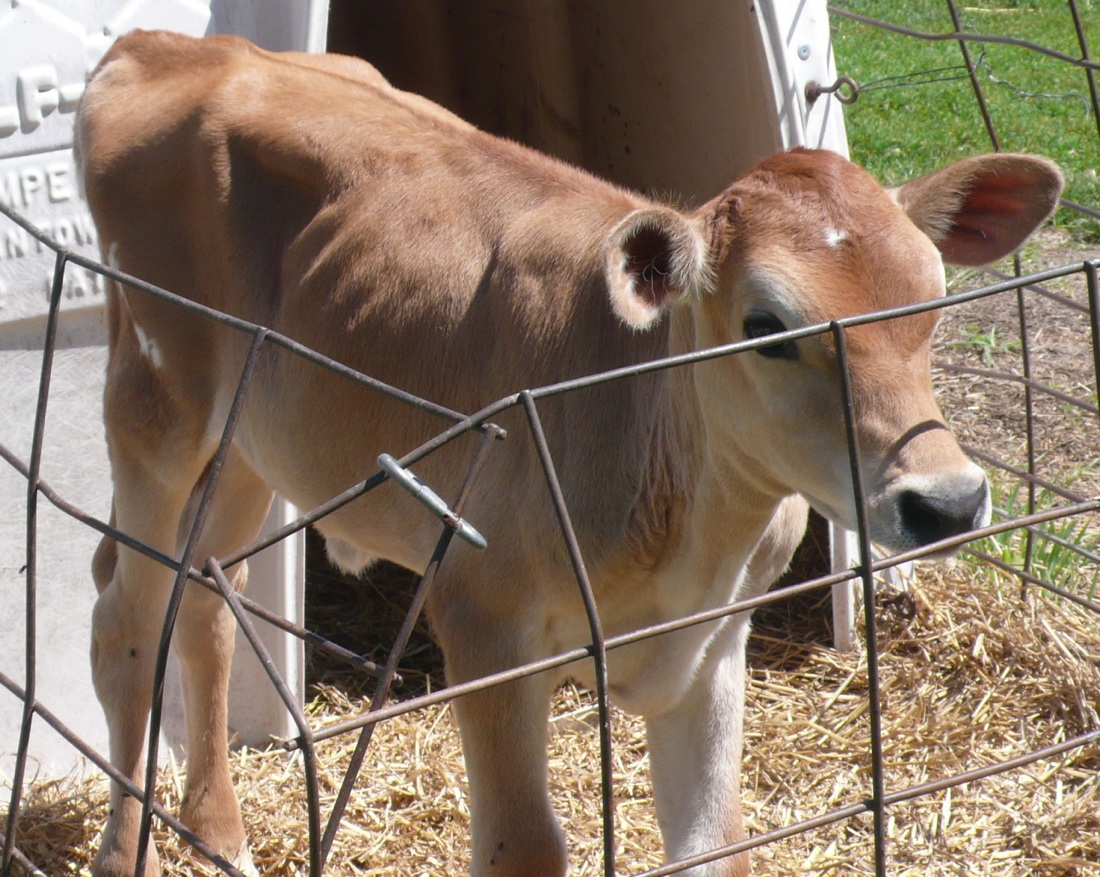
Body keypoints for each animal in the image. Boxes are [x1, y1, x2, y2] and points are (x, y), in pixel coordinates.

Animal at [75, 29, 1062, 877]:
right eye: (766, 325)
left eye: (933, 297)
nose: (948, 501)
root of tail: (178, 45)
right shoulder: (483, 621)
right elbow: (528, 846)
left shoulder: (714, 640)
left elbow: (717, 843)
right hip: (158, 404)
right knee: (127, 615)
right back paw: (129, 850)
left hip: (250, 441)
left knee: (205, 601)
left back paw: (219, 831)